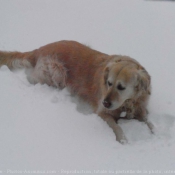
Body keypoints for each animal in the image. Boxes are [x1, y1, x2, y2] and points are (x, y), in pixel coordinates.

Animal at [0, 40, 153, 144]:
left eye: (121, 87)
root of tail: (40, 49)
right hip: (57, 70)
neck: (128, 103)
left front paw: (153, 132)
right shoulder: (103, 113)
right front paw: (123, 141)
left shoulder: (140, 109)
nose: (105, 102)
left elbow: (150, 123)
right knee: (34, 78)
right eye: (109, 83)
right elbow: (117, 127)